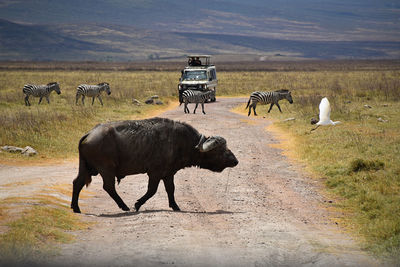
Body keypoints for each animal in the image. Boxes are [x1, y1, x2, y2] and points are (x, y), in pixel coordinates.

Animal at [70, 117, 239, 214]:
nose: (235, 161)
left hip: (86, 168)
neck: (180, 142)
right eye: (220, 150)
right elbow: (152, 190)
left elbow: (171, 190)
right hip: (106, 169)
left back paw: (76, 208)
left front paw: (175, 206)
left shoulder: (168, 174)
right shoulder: (155, 173)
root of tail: (89, 134)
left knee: (77, 183)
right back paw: (124, 206)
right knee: (109, 187)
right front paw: (137, 204)